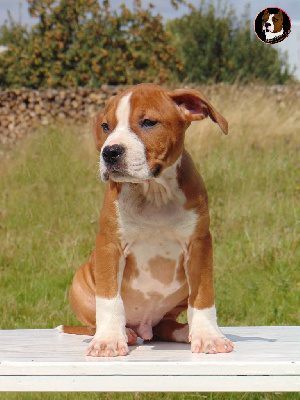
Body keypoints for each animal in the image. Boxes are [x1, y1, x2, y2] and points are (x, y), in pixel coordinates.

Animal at [61, 83, 234, 356]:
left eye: (149, 122)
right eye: (106, 127)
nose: (109, 152)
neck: (153, 193)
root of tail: (143, 325)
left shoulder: (200, 245)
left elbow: (203, 296)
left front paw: (208, 336)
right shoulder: (109, 245)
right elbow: (109, 298)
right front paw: (108, 340)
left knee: (165, 325)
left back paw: (184, 331)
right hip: (80, 281)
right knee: (95, 323)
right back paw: (125, 334)